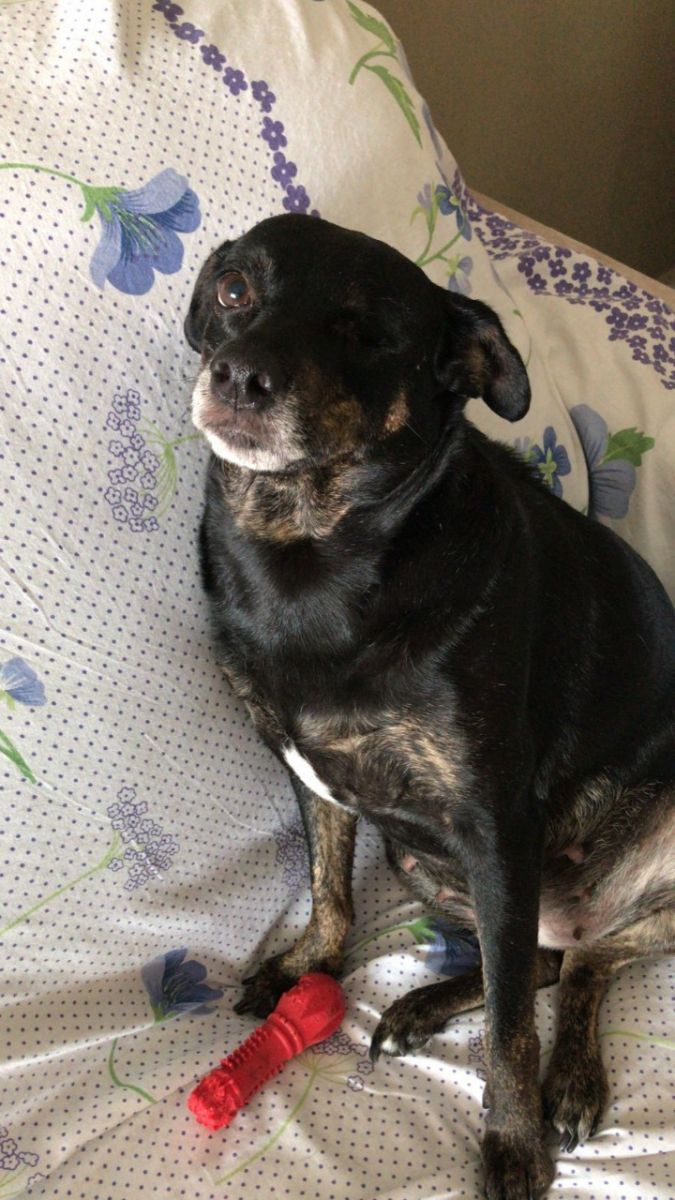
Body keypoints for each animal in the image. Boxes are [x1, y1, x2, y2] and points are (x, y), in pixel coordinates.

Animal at [186, 213, 675, 1200]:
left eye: (367, 333)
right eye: (234, 290)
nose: (240, 374)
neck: (304, 555)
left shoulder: (493, 825)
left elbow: (509, 1035)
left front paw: (511, 1142)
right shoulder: (320, 785)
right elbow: (328, 890)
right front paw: (309, 967)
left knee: (581, 961)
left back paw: (570, 1078)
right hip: (419, 860)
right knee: (541, 956)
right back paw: (420, 1006)